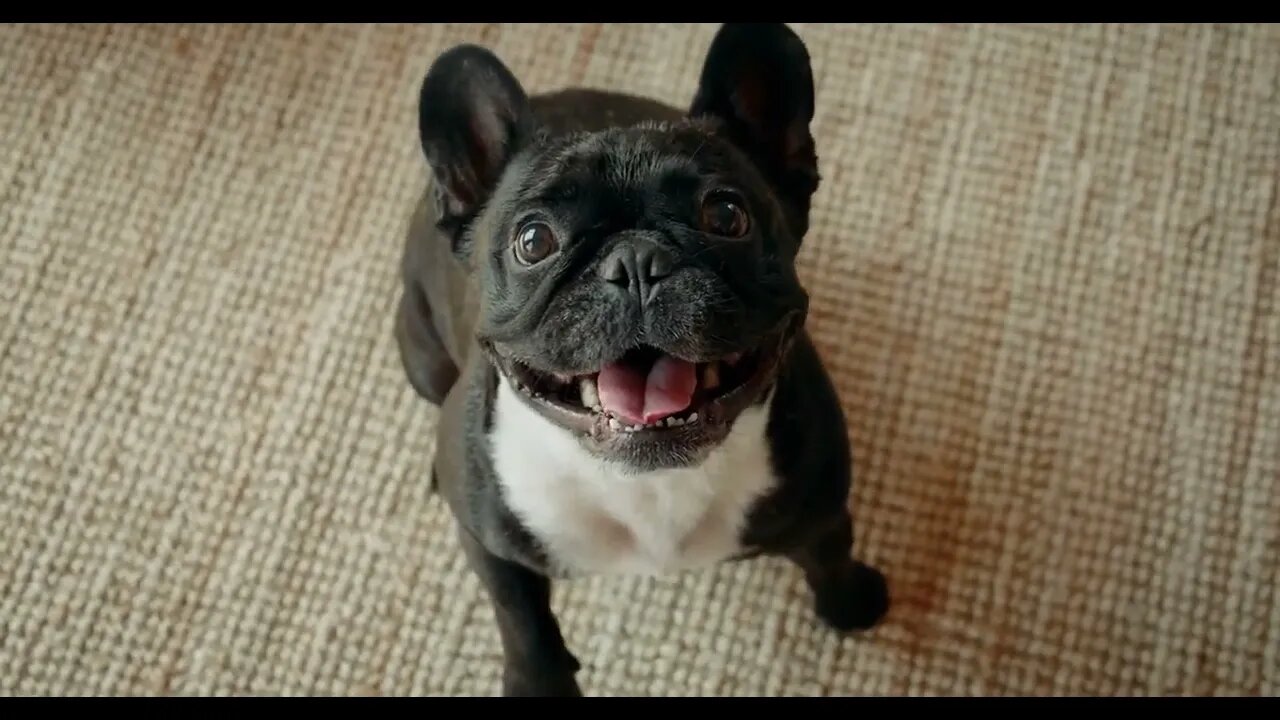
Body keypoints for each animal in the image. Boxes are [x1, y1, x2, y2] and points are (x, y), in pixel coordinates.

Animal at [394, 23, 885, 696]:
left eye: (726, 215)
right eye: (533, 242)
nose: (634, 263)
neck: (648, 482)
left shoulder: (822, 501)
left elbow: (831, 550)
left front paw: (849, 603)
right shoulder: (493, 548)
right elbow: (519, 618)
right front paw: (539, 682)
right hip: (419, 354)